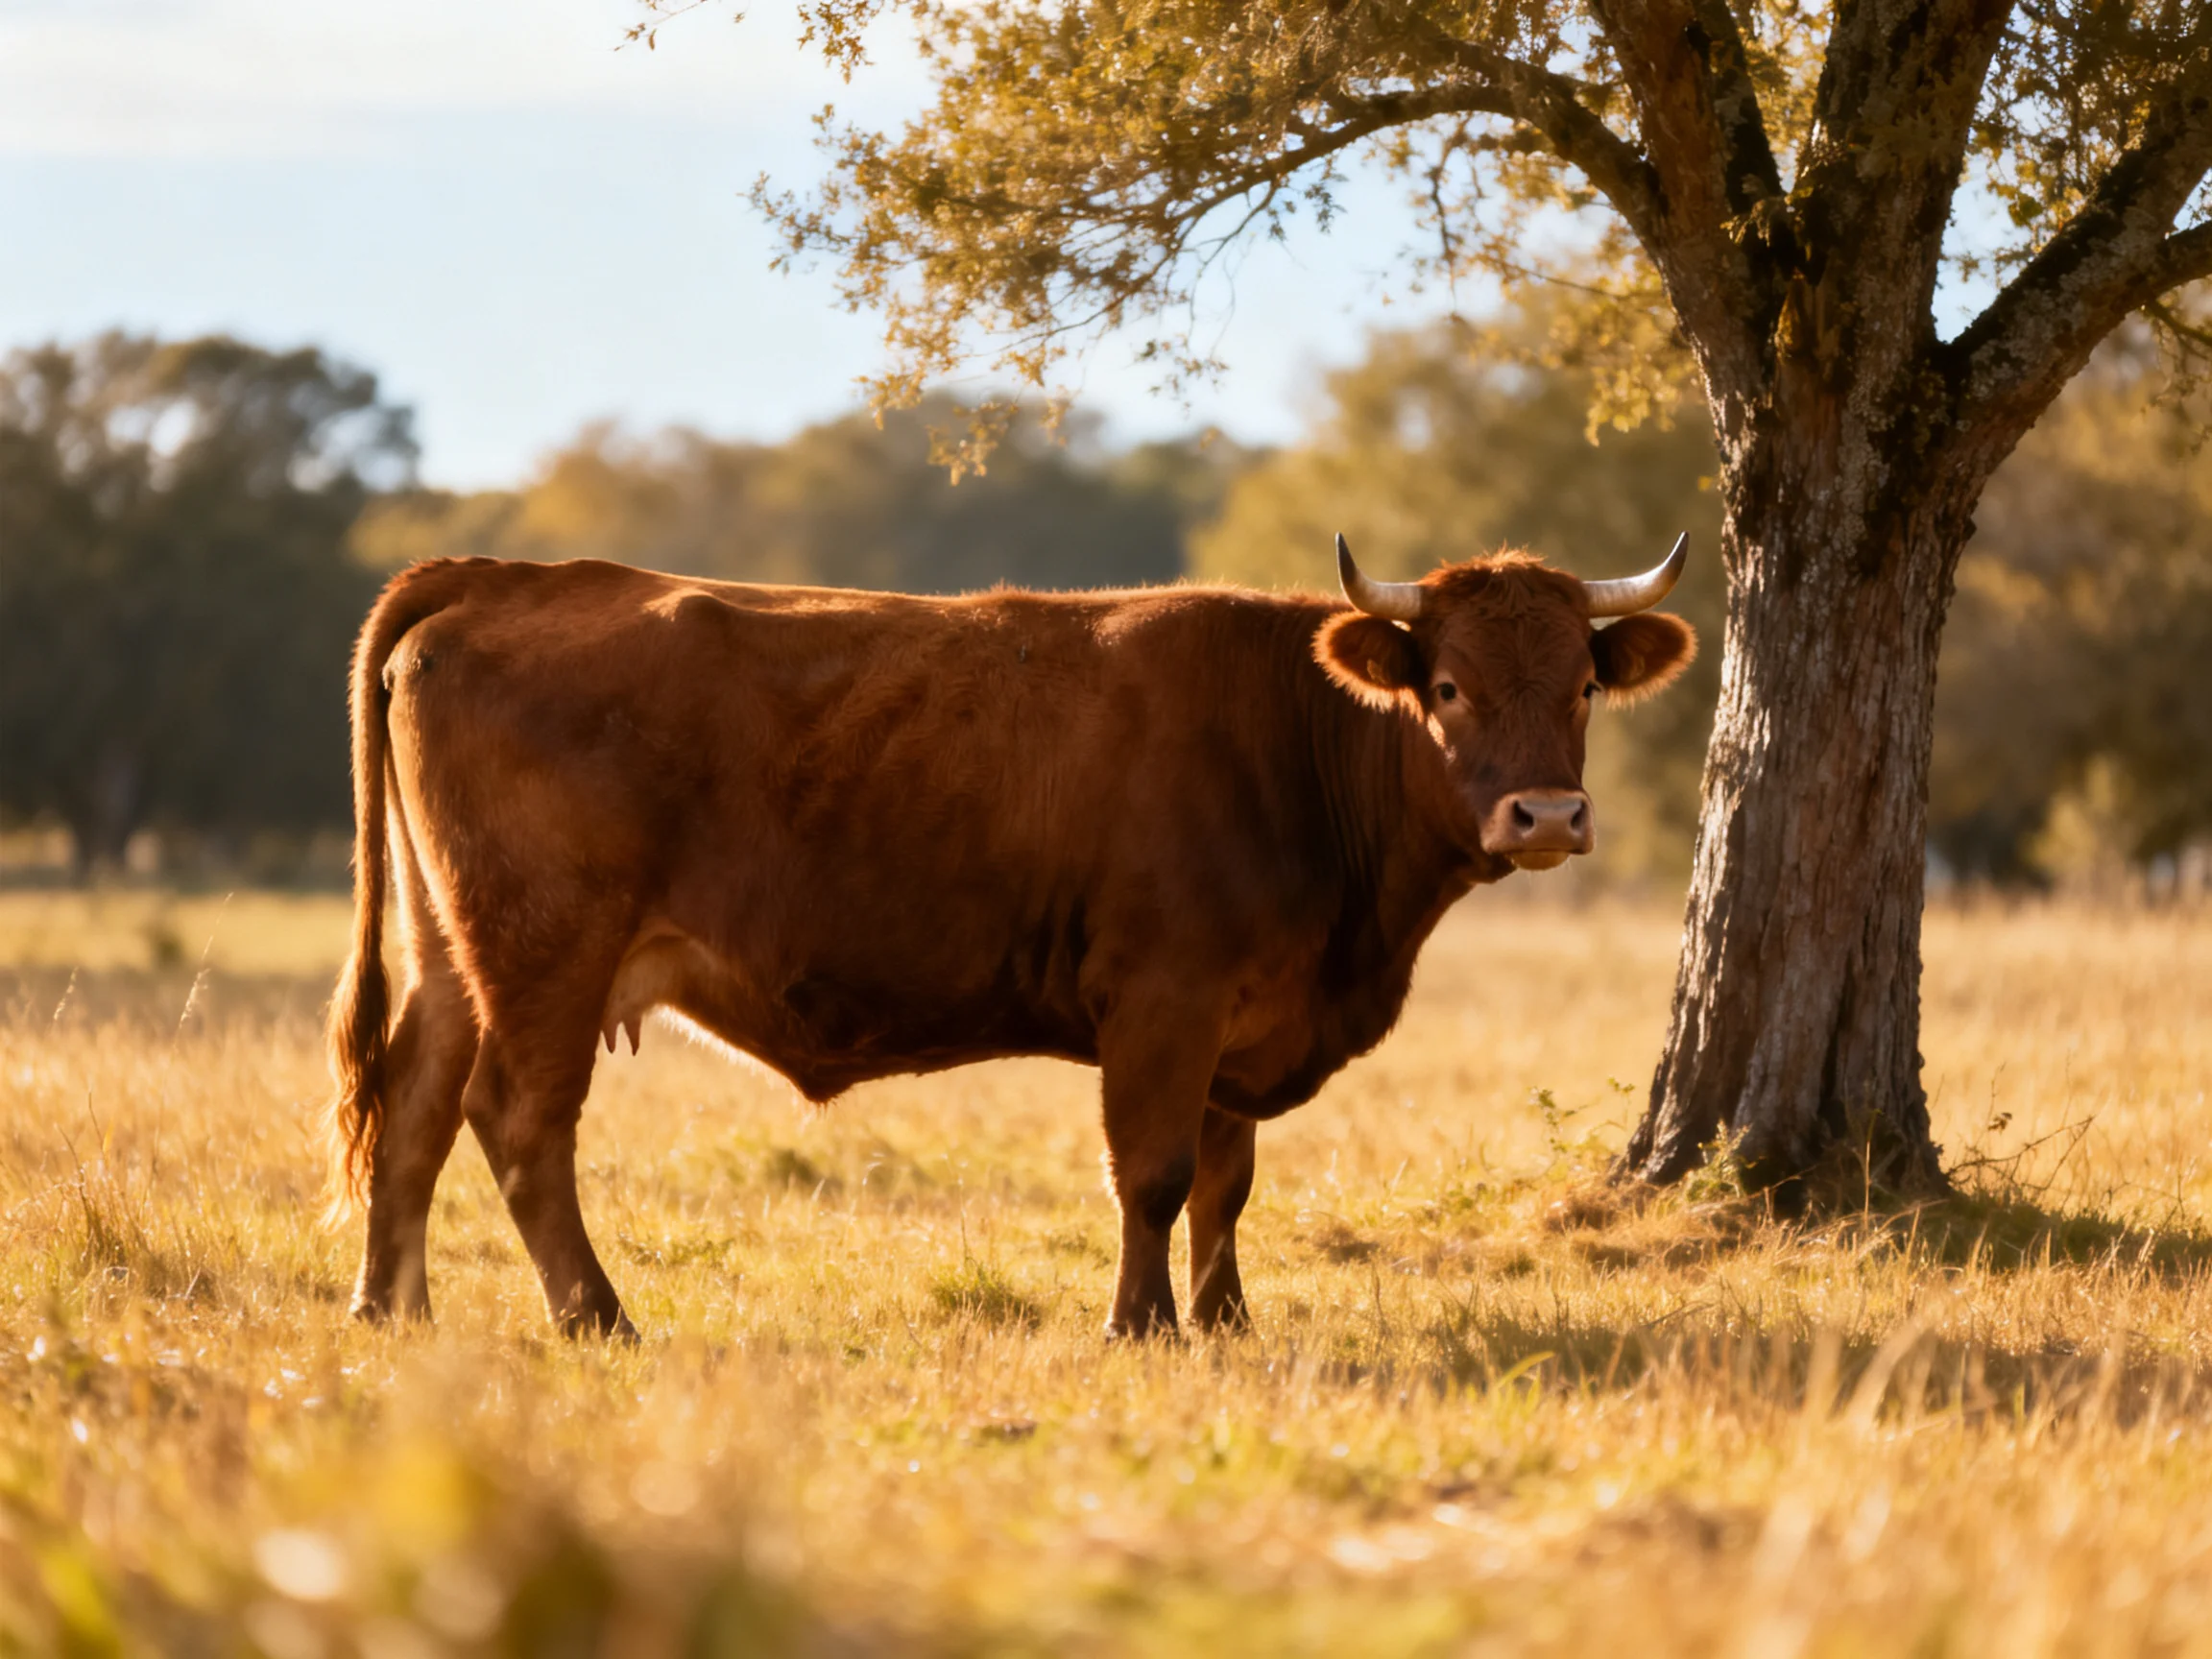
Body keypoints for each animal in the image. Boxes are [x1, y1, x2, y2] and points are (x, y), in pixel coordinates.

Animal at [327, 535, 1696, 1339]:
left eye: (1583, 684)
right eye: (1449, 687)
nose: (1548, 816)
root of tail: (509, 572)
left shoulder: (1242, 1015)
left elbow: (1227, 1181)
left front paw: (1228, 1322)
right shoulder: (1164, 998)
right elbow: (1152, 1173)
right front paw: (1143, 1325)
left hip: (456, 949)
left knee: (415, 1105)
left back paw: (391, 1311)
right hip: (546, 947)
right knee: (519, 1121)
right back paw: (595, 1315)